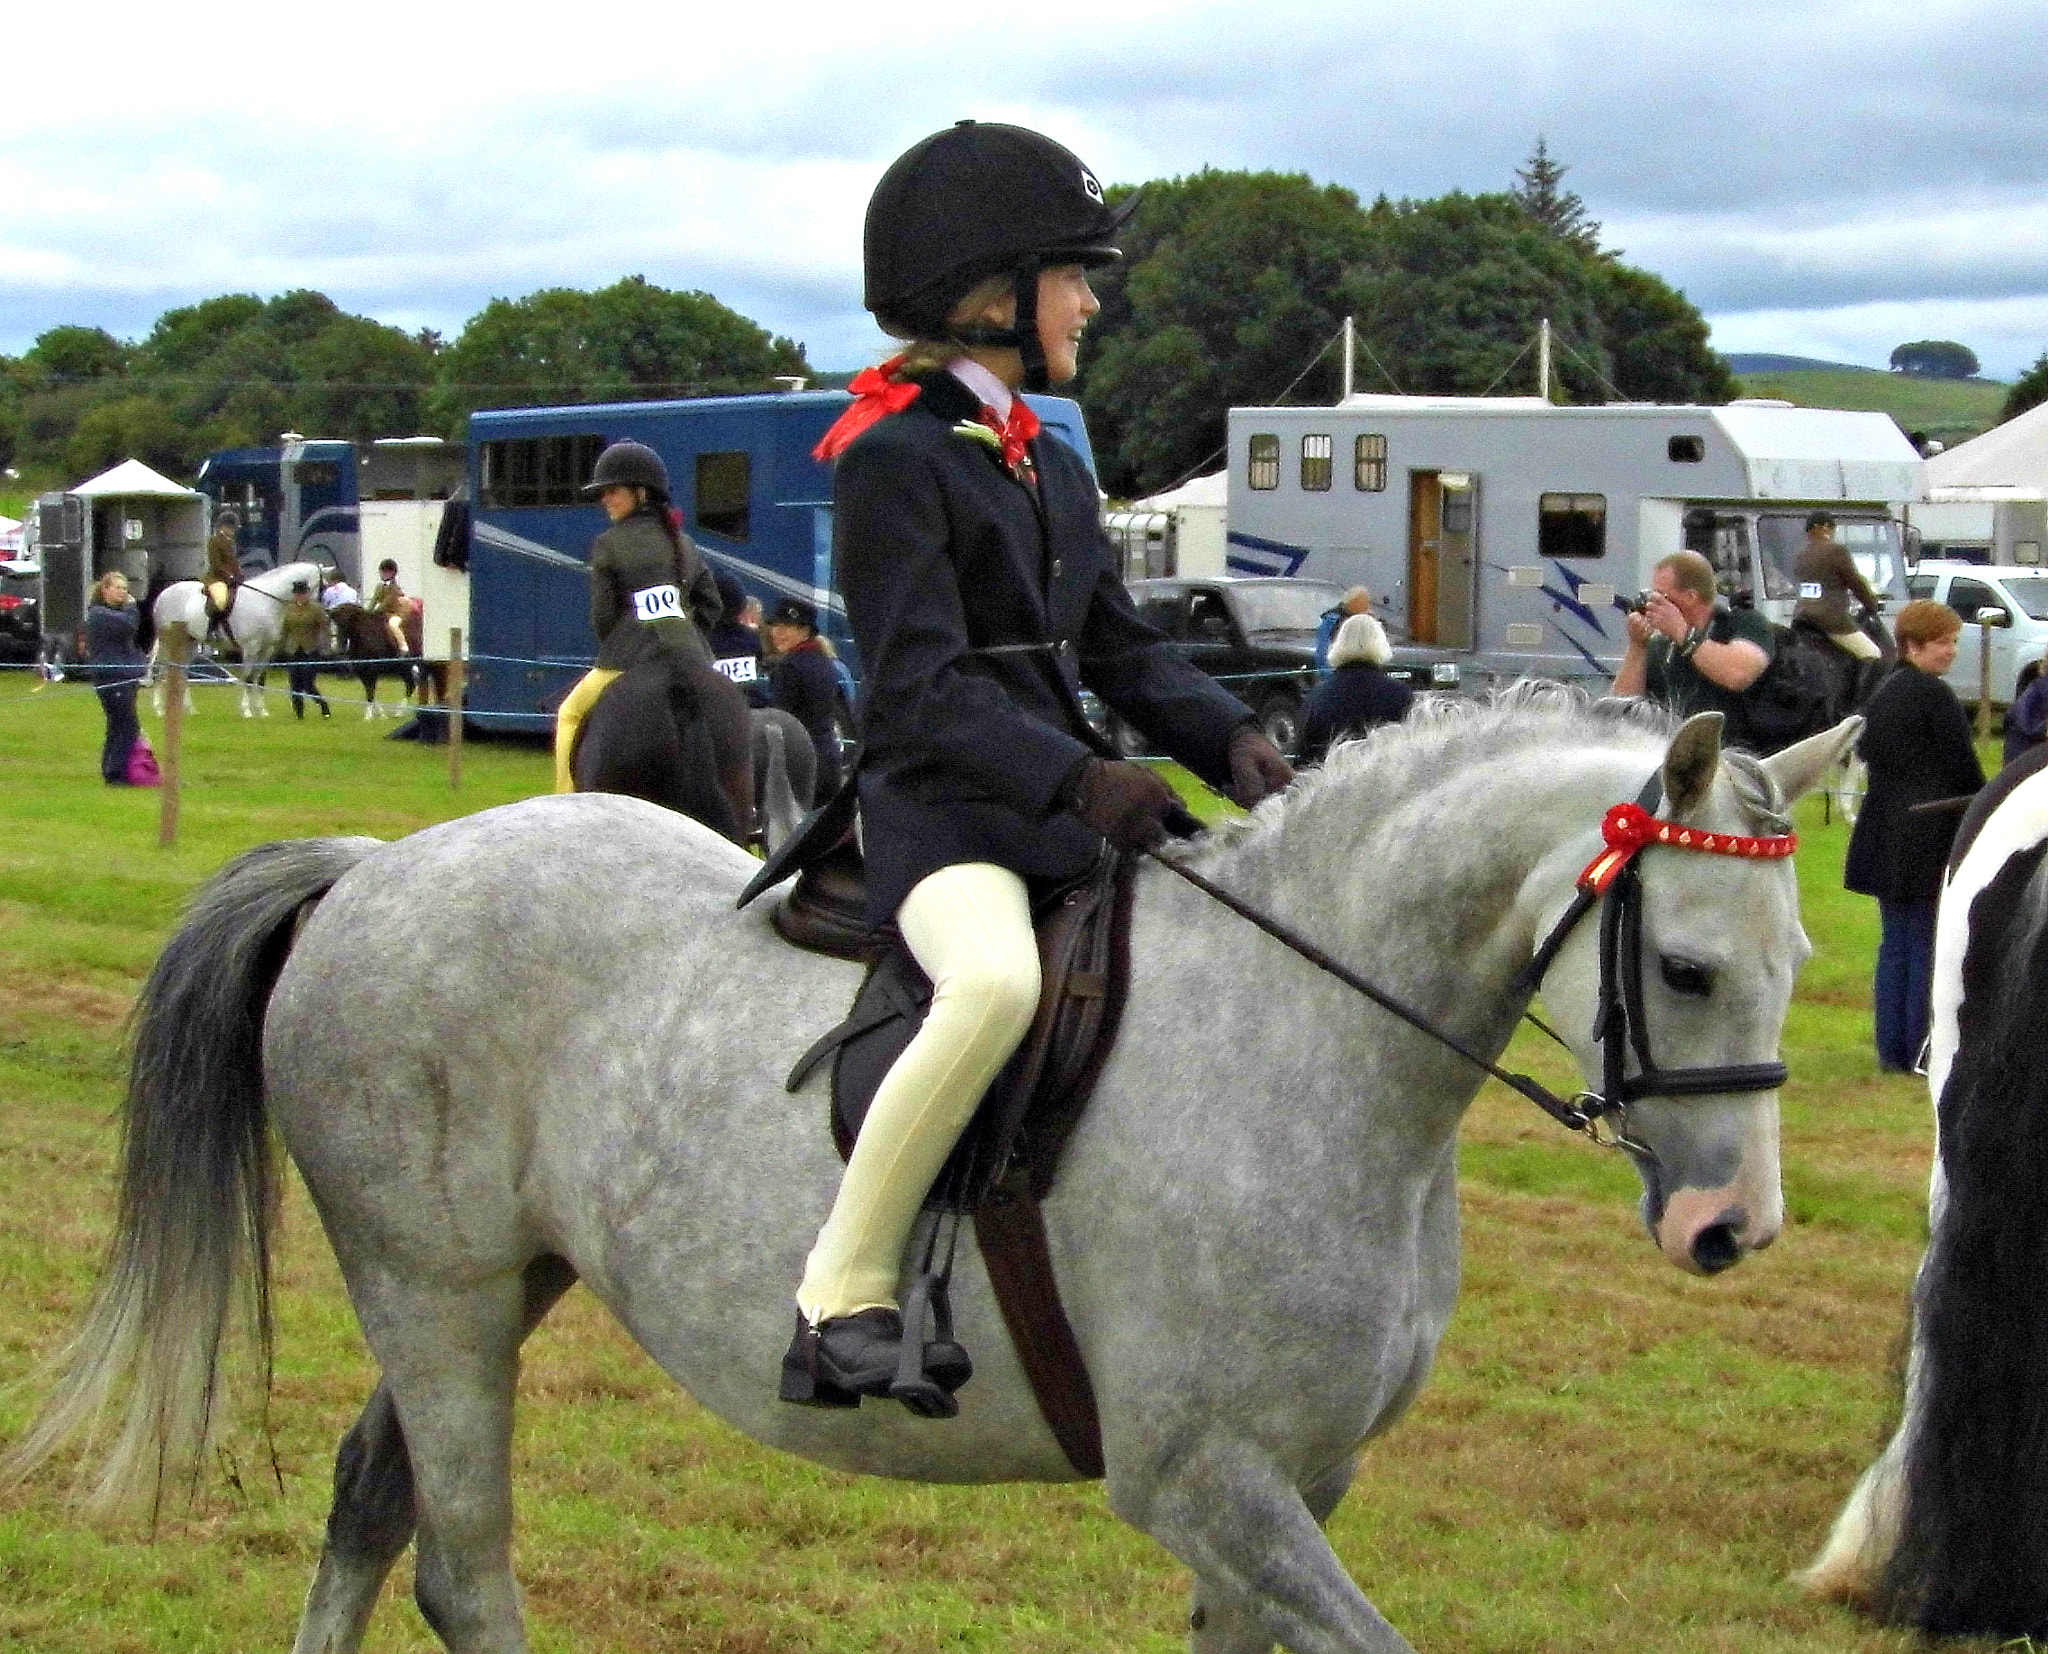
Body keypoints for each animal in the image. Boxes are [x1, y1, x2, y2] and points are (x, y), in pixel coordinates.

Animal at [4, 687, 1859, 1654]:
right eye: (1687, 965)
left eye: (1793, 955)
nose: (1729, 1229)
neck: (1312, 1041)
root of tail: (375, 868)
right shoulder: (1206, 1477)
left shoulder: (1294, 1484)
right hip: (432, 1285)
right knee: (462, 1560)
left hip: (485, 1286)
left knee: (372, 1503)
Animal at [150, 560, 323, 716]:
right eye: (323, 585)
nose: (324, 610)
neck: (265, 601)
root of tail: (163, 594)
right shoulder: (250, 647)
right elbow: (247, 677)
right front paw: (246, 710)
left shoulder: (267, 649)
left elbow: (259, 679)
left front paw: (261, 710)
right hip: (167, 642)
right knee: (161, 671)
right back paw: (159, 709)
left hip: (189, 643)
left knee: (182, 672)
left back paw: (189, 709)